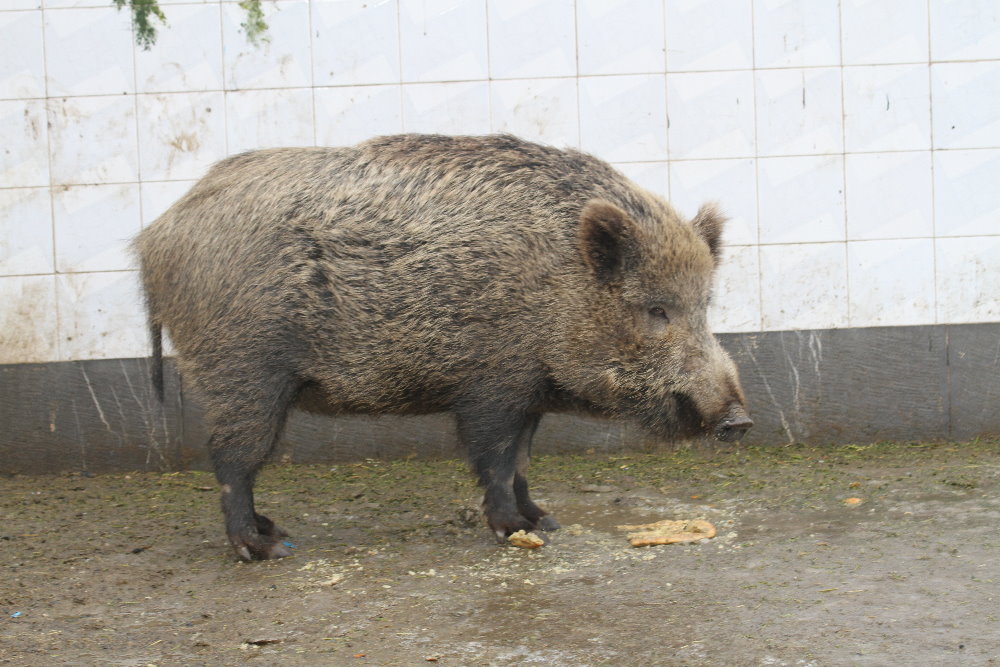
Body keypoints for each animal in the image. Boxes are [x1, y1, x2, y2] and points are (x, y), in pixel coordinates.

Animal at [134, 134, 752, 561]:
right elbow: (495, 459)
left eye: (705, 305)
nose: (740, 420)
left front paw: (544, 521)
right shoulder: (492, 385)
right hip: (243, 370)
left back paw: (273, 530)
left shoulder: (528, 393)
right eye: (656, 310)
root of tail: (155, 236)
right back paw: (267, 548)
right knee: (232, 459)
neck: (555, 285)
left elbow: (522, 461)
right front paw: (515, 531)